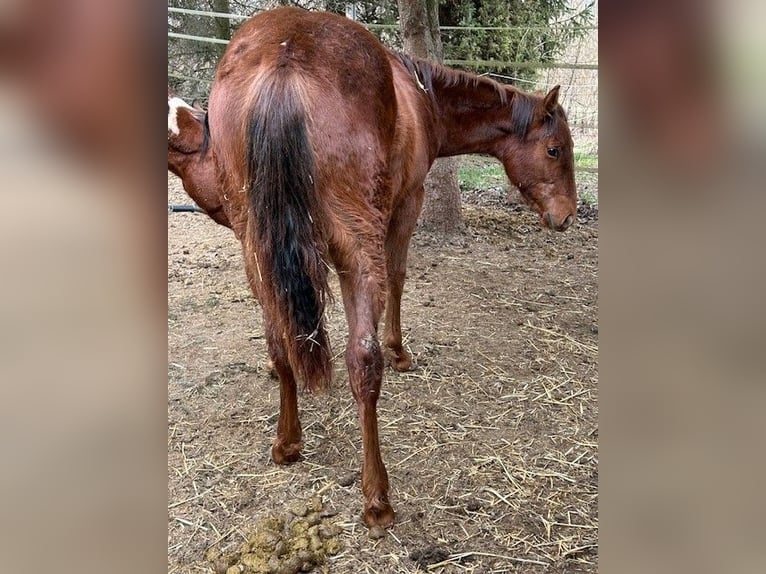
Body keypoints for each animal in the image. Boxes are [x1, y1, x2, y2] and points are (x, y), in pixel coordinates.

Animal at [206, 6, 577, 529]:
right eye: (554, 150)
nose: (568, 215)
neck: (420, 95)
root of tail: (285, 57)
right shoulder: (407, 205)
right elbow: (400, 278)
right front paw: (399, 349)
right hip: (357, 245)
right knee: (362, 361)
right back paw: (377, 498)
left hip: (256, 249)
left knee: (280, 345)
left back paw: (287, 442)